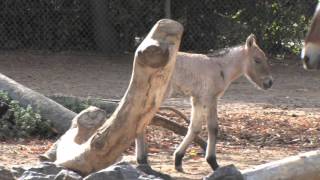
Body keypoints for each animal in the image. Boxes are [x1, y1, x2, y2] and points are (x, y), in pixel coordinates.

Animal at [135, 33, 272, 172]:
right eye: (257, 60)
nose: (269, 83)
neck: (220, 68)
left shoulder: (198, 99)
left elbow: (194, 128)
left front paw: (178, 159)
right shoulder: (211, 98)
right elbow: (213, 128)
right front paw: (213, 163)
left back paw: (142, 160)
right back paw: (143, 160)